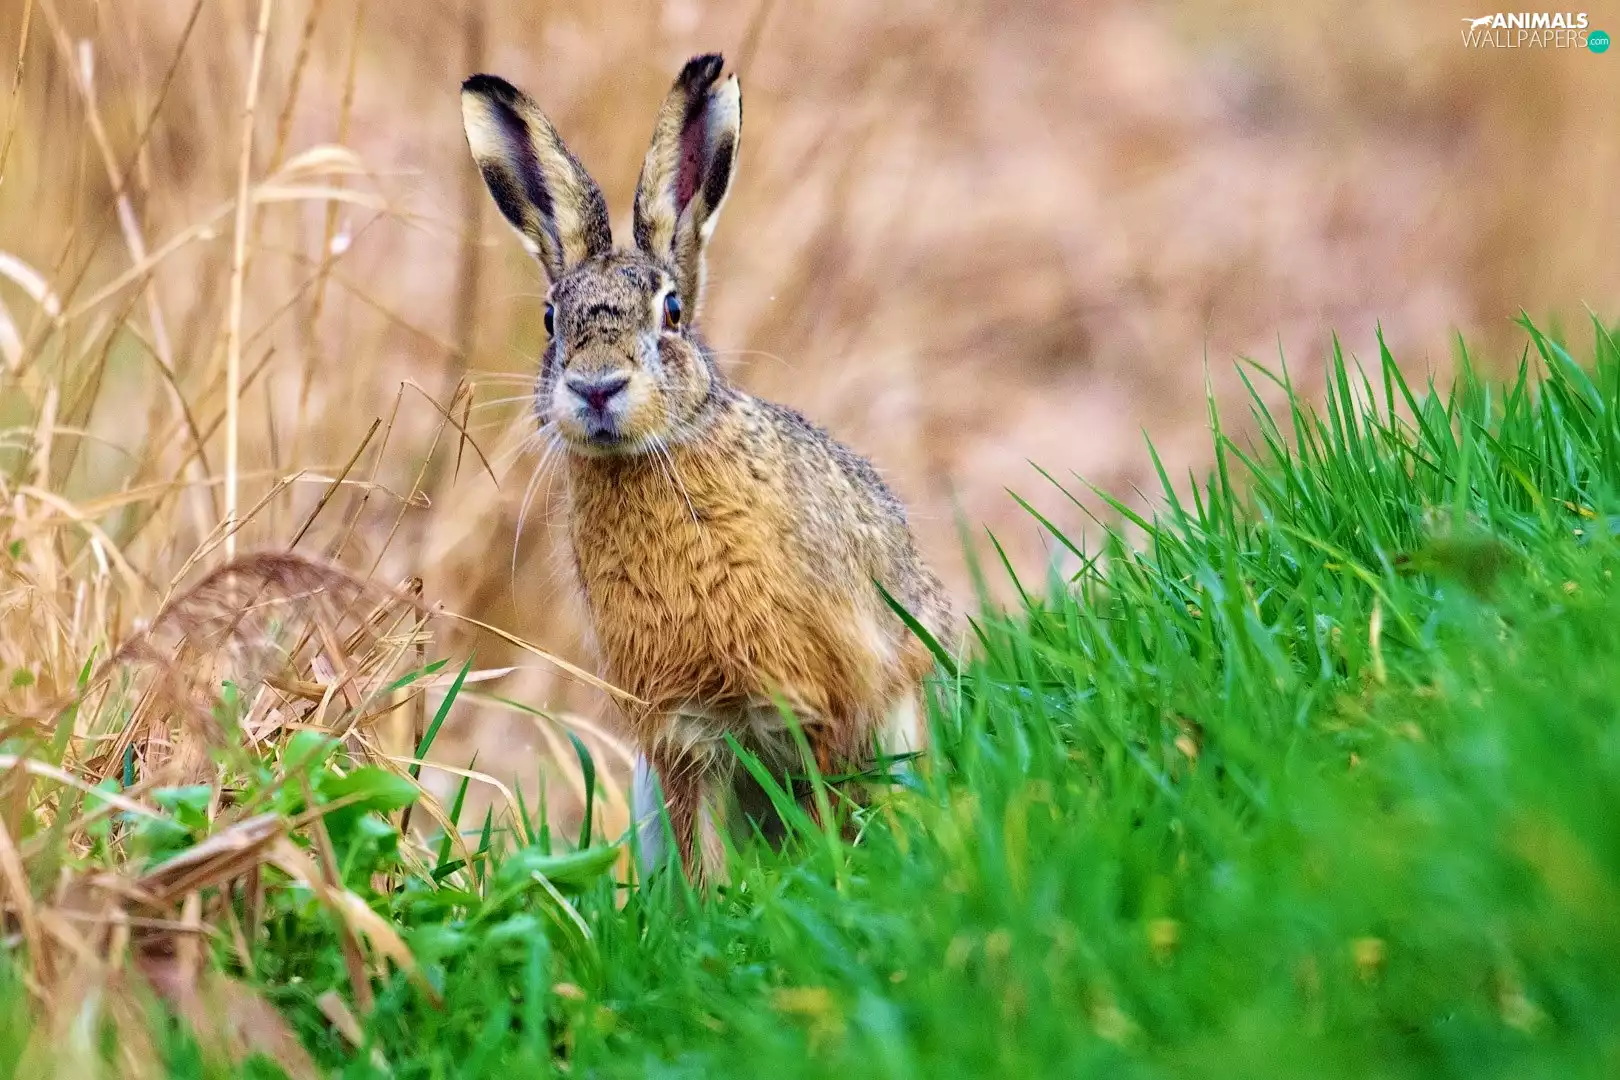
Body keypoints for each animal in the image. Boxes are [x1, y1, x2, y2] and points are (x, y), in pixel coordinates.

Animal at [460, 53, 955, 884]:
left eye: (671, 314)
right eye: (551, 320)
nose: (596, 387)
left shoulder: (819, 698)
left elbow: (824, 799)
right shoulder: (685, 736)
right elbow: (702, 846)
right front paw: (716, 900)